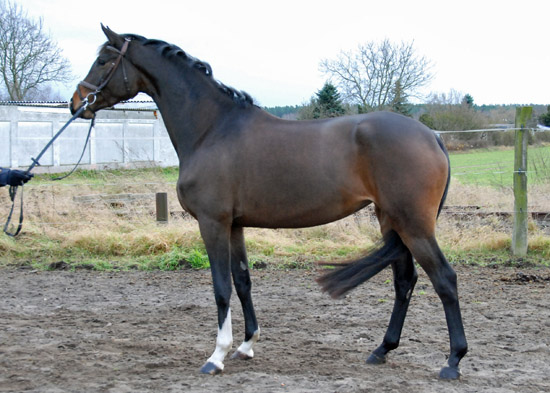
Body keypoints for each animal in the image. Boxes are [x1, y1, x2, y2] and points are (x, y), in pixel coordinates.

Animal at [71, 25, 470, 380]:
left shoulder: (212, 223)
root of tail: (433, 136)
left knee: (444, 280)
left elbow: (220, 288)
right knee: (405, 282)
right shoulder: (235, 225)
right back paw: (382, 350)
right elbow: (242, 281)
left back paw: (452, 362)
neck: (212, 129)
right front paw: (247, 345)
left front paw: (216, 357)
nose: (78, 102)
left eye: (104, 60)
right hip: (391, 221)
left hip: (413, 225)